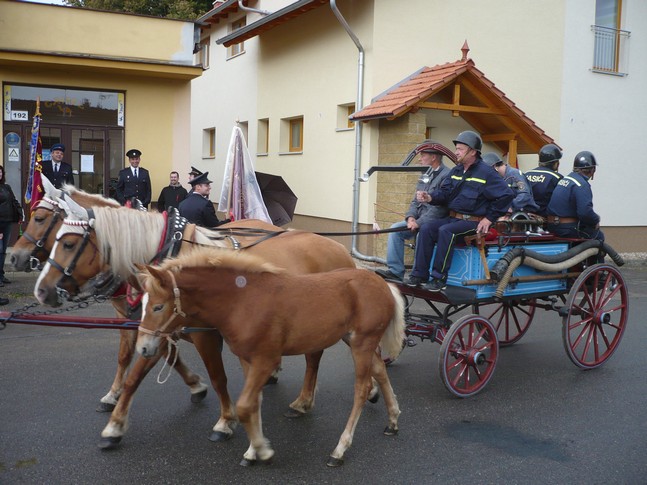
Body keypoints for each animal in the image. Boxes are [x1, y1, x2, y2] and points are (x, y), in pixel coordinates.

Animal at [34, 193, 360, 446]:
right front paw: (115, 425)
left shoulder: (203, 334)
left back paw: (308, 401)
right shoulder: (156, 329)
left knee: (316, 356)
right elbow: (136, 373)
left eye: (68, 243)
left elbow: (217, 377)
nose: (42, 290)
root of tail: (339, 248)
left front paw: (225, 421)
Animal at [137, 250, 404, 466]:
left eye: (158, 307)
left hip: (362, 344)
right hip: (355, 341)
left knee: (362, 389)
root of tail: (384, 285)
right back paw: (392, 421)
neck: (243, 301)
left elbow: (244, 406)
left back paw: (339, 450)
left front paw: (263, 451)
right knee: (380, 371)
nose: (143, 348)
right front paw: (252, 451)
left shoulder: (266, 360)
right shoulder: (248, 360)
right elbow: (254, 403)